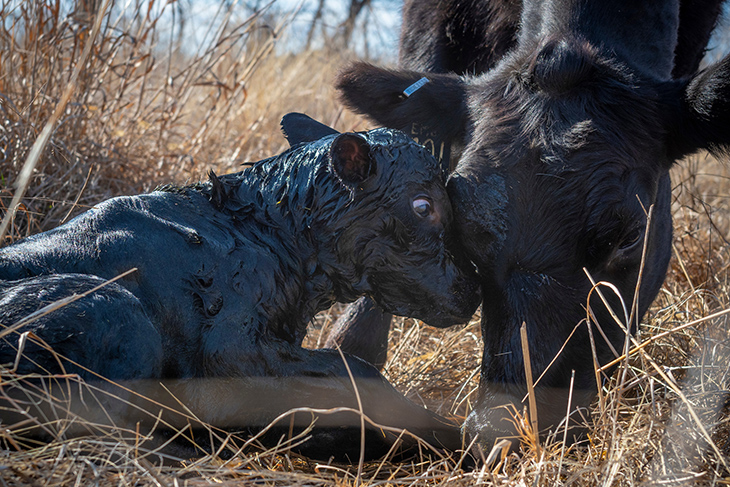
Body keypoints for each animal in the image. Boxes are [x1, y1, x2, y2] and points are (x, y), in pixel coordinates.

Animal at [0, 118, 480, 462]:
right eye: (423, 205)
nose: (472, 286)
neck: (267, 234)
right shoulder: (228, 352)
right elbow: (354, 369)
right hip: (114, 312)